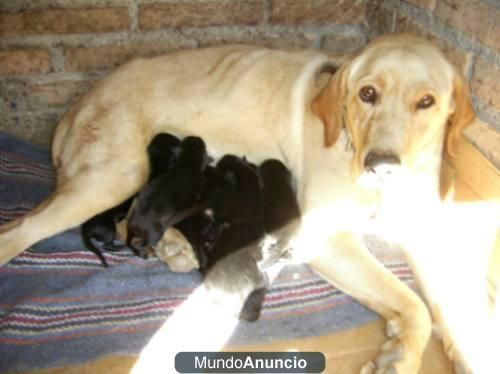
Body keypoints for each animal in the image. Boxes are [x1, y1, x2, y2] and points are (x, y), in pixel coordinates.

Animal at [81, 133, 183, 264]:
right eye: (174, 140)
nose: (178, 137)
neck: (157, 168)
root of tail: (85, 227)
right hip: (109, 228)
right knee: (107, 245)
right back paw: (121, 247)